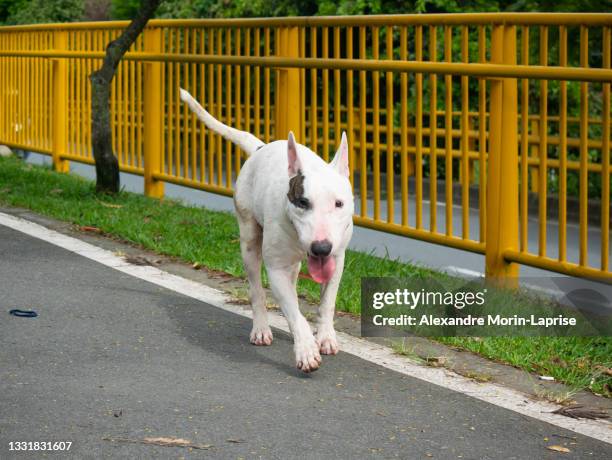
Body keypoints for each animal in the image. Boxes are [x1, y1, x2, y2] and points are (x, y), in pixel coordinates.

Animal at [179, 88, 354, 372]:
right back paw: (261, 329)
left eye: (339, 203)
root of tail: (261, 147)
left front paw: (326, 337)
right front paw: (306, 350)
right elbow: (291, 308)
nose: (320, 248)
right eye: (302, 202)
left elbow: (327, 301)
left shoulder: (337, 258)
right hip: (249, 239)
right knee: (256, 289)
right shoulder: (276, 268)